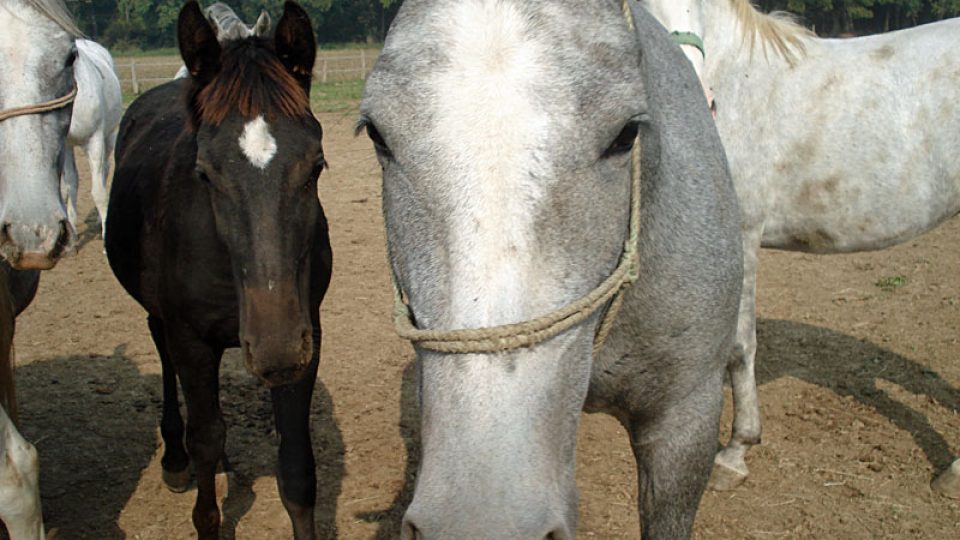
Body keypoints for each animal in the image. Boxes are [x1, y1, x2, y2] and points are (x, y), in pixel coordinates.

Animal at [62, 39, 121, 237]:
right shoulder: (65, 145)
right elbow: (70, 184)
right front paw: (72, 231)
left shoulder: (95, 139)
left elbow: (98, 192)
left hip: (109, 138)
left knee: (105, 170)